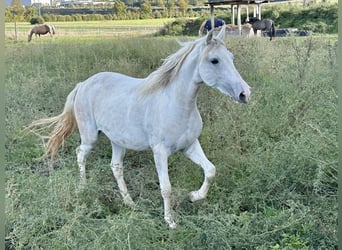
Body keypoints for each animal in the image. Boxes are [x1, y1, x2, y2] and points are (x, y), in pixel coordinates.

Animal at [28, 26, 251, 229]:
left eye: (231, 57)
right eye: (214, 60)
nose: (245, 93)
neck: (175, 104)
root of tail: (83, 84)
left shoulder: (190, 146)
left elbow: (210, 170)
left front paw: (194, 196)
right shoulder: (160, 152)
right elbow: (166, 188)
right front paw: (170, 221)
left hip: (117, 140)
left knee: (116, 166)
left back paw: (129, 203)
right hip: (90, 136)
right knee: (80, 154)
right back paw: (83, 188)